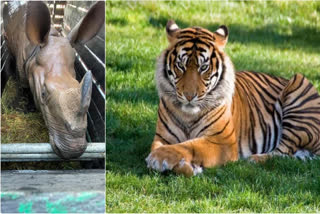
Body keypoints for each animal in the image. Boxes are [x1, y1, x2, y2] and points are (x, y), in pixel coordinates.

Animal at [146, 19, 320, 177]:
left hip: (299, 84)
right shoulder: (163, 136)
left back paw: (254, 159)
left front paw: (158, 158)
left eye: (204, 67)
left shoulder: (222, 141)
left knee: (282, 151)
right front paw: (187, 167)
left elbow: (189, 146)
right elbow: (162, 147)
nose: (189, 96)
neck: (188, 114)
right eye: (180, 66)